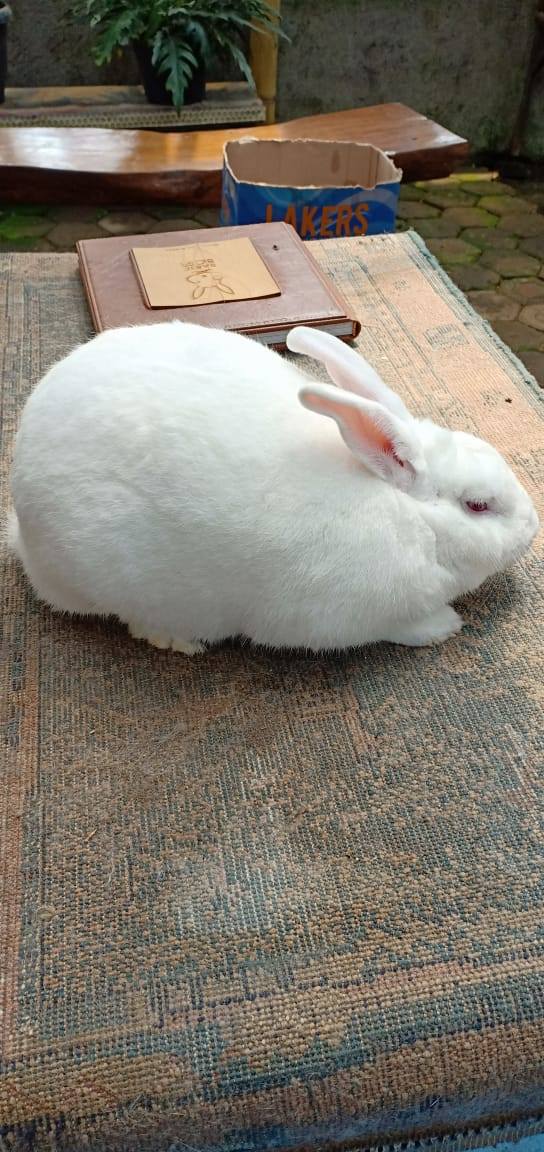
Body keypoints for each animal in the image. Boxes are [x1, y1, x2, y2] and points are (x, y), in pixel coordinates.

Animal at [8, 320, 538, 655]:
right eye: (478, 505)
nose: (533, 525)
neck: (412, 521)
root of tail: (23, 532)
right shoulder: (346, 616)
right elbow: (403, 626)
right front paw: (443, 627)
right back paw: (179, 640)